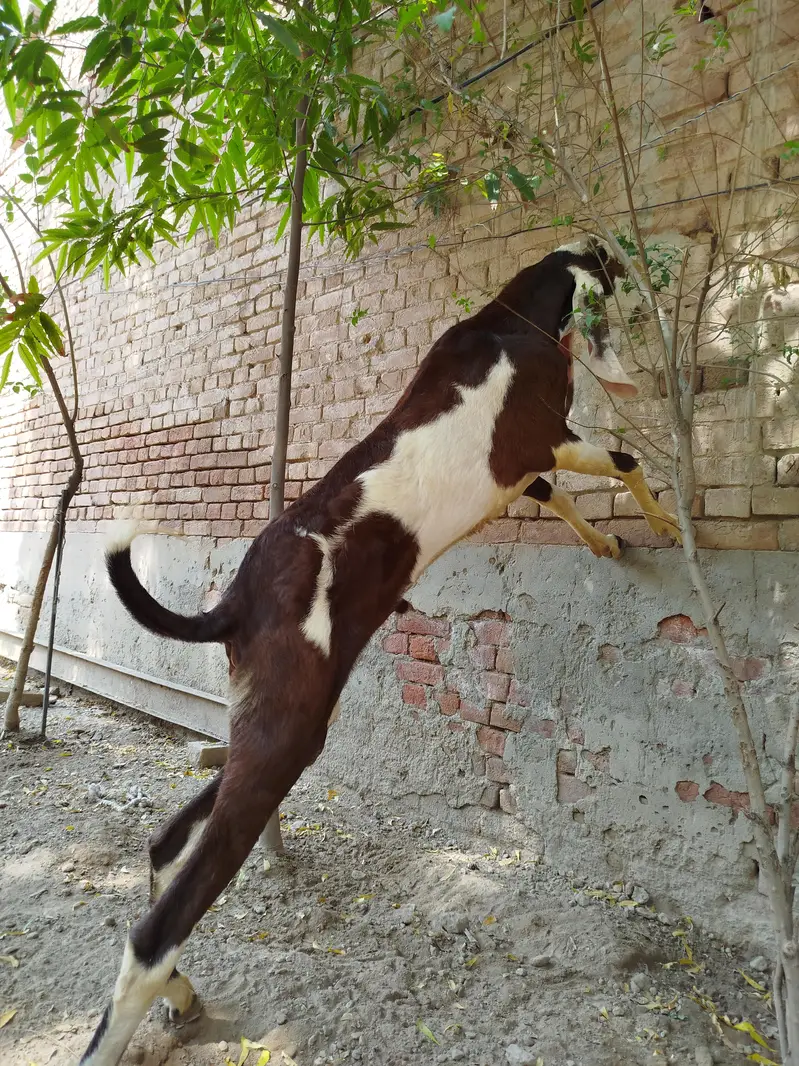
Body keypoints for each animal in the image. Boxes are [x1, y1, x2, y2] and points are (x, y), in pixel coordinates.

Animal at [80, 235, 678, 1066]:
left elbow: (558, 497)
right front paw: (664, 521)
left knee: (166, 846)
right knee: (153, 930)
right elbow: (626, 463)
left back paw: (183, 994)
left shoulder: (524, 471)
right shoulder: (546, 436)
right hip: (285, 737)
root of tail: (234, 604)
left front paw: (606, 541)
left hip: (274, 731)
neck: (506, 321)